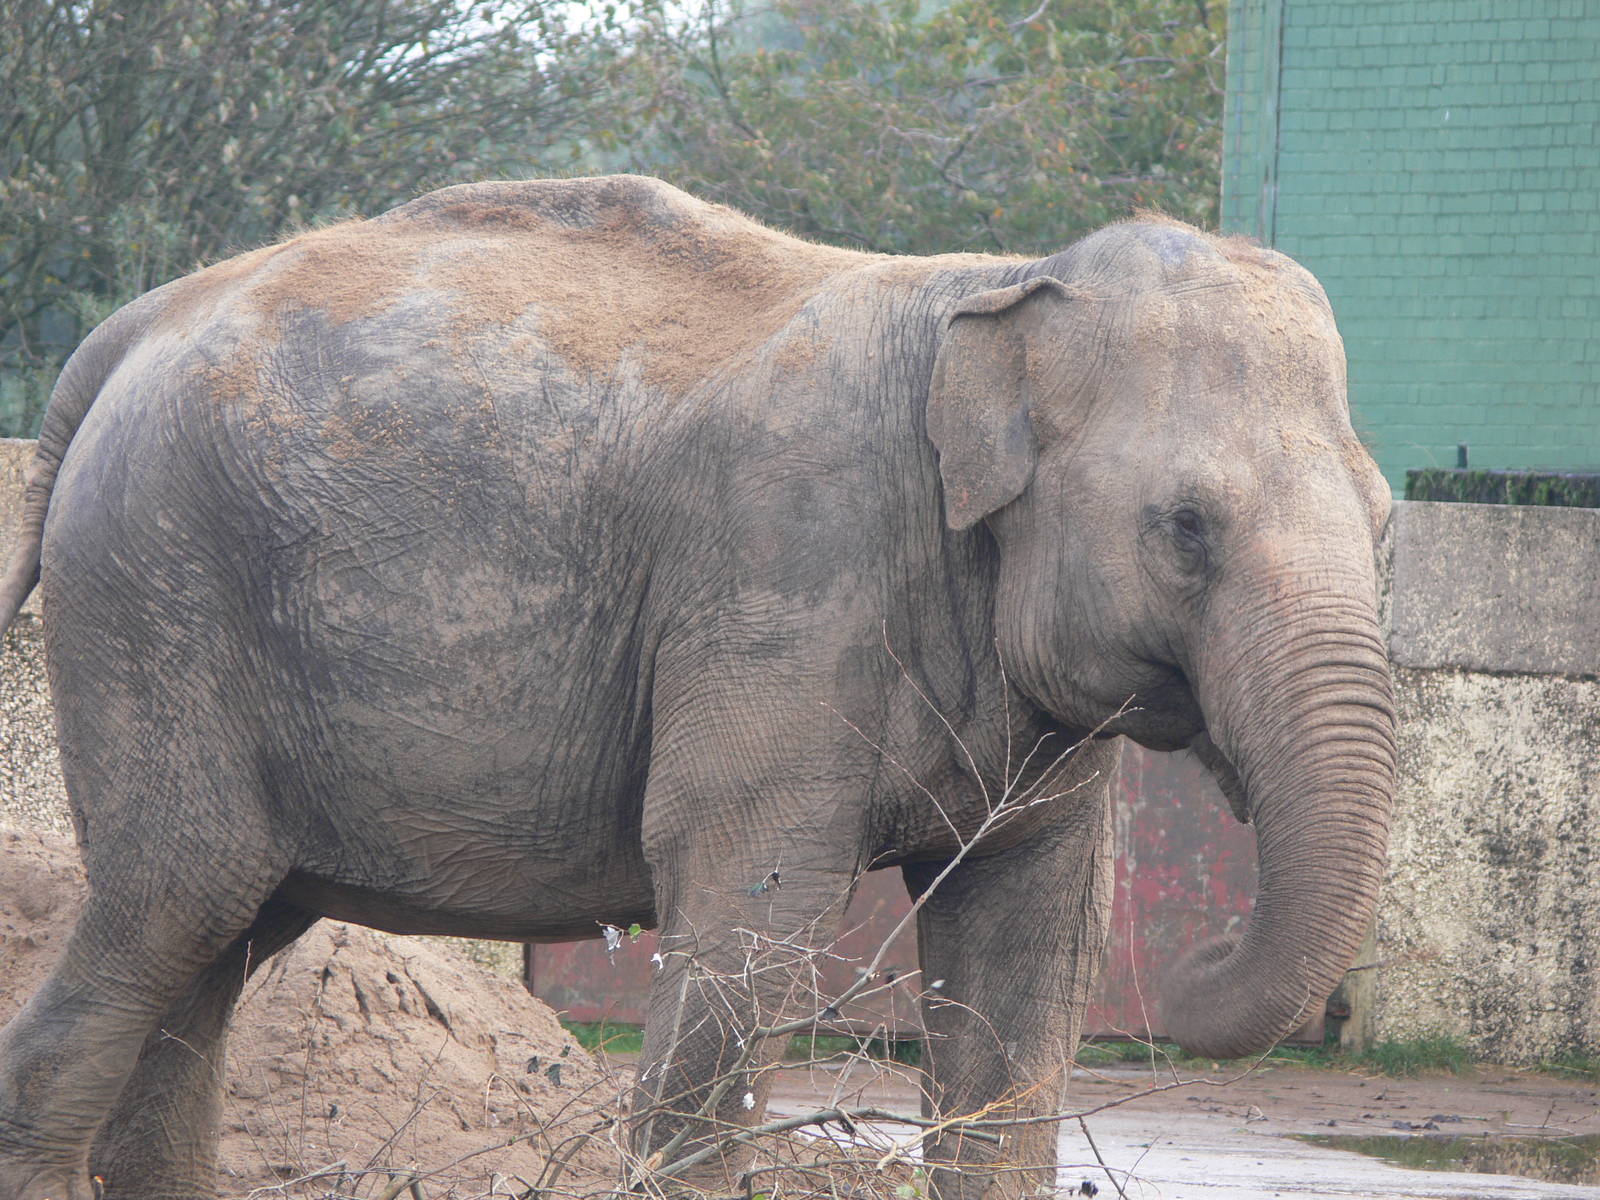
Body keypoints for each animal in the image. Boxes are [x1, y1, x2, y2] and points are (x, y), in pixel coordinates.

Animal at [0, 175, 1395, 1200]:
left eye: (1387, 523)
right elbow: (748, 912)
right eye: (1185, 528)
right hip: (155, 604)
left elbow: (1028, 955)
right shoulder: (786, 576)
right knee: (175, 899)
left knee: (222, 940)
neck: (995, 290)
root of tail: (131, 330)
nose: (1206, 941)